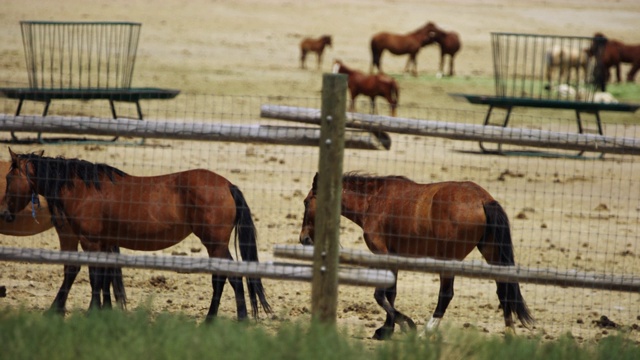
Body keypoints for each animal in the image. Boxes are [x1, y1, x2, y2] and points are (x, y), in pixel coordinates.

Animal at [300, 173, 536, 338]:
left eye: (306, 202)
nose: (304, 239)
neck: (373, 201)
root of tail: (483, 200)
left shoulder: (382, 254)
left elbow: (380, 294)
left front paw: (405, 325)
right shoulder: (394, 257)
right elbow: (391, 292)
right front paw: (387, 329)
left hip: (449, 260)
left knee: (446, 294)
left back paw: (426, 331)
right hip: (491, 252)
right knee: (503, 288)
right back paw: (509, 332)